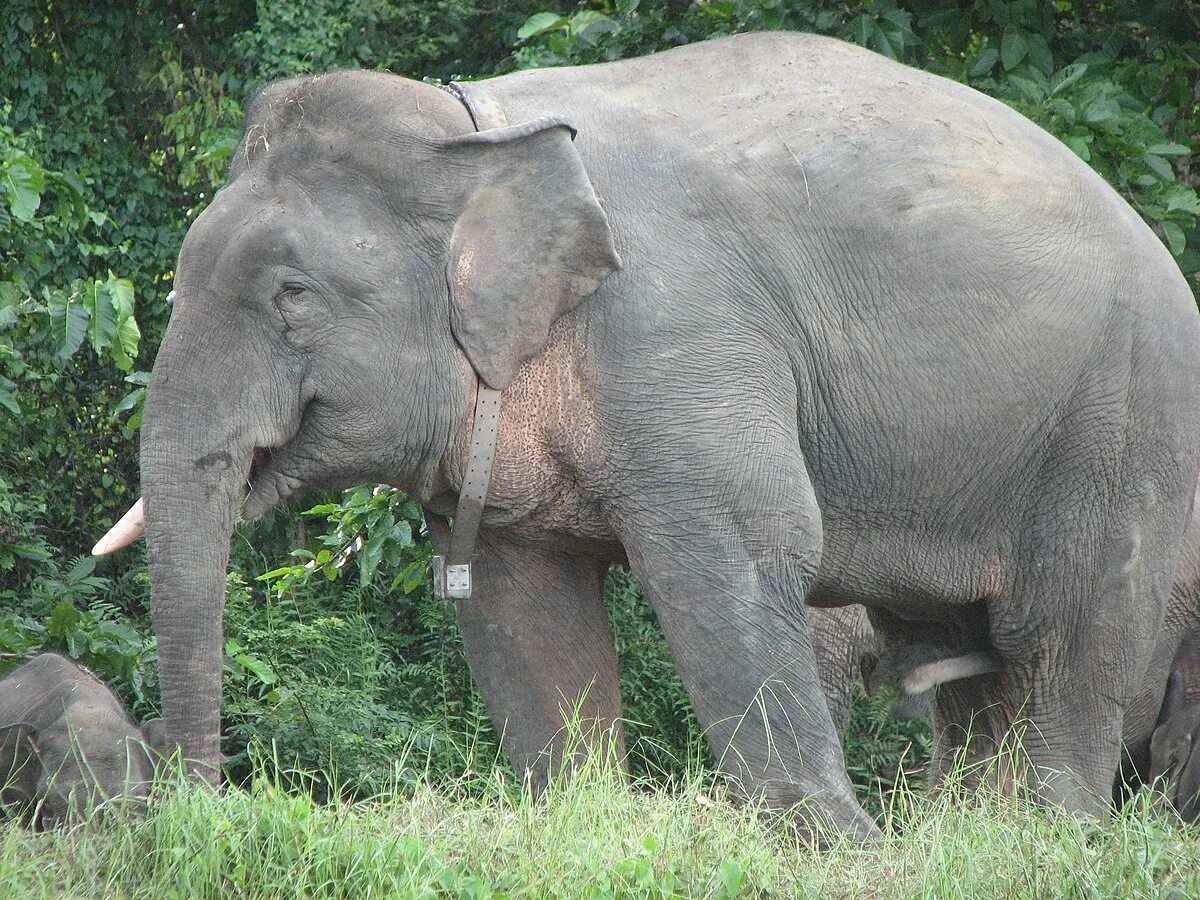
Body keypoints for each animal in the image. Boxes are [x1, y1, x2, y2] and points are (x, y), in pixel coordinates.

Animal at [93, 31, 1200, 844]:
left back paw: (1044, 841)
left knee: (1067, 634)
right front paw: (582, 822)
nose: (199, 810)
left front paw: (844, 852)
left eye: (293, 297)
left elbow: (743, 547)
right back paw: (972, 842)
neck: (477, 132)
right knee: (979, 664)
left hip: (1123, 426)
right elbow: (519, 598)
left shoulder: (683, 336)